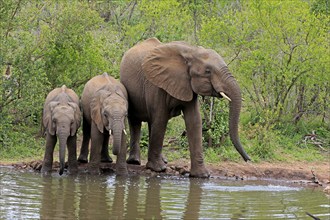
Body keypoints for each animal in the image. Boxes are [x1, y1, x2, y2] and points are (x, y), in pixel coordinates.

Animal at [120, 36, 251, 177]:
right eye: (208, 71)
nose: (248, 160)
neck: (191, 51)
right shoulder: (156, 83)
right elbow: (160, 119)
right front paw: (158, 169)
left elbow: (194, 121)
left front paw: (201, 175)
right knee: (136, 122)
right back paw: (135, 162)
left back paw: (162, 160)